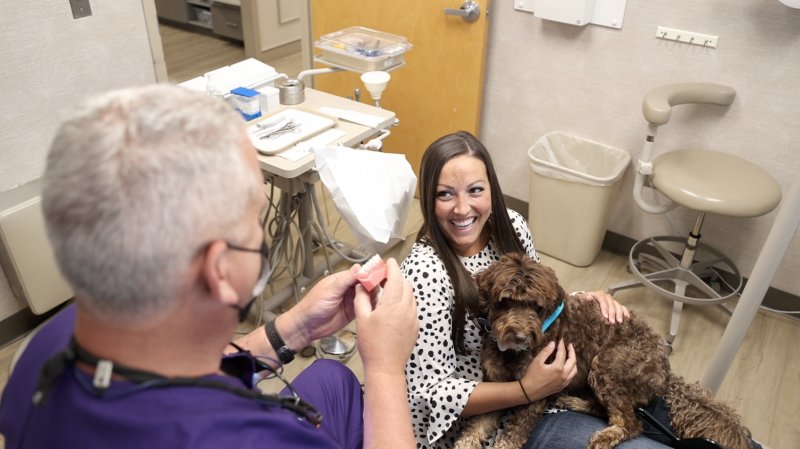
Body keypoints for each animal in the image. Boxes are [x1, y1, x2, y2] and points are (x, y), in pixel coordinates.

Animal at [454, 252, 752, 448]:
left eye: (536, 307)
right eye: (505, 302)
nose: (518, 336)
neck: (512, 355)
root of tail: (666, 374)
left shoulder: (535, 396)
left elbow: (512, 435)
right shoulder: (498, 386)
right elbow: (477, 427)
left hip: (607, 365)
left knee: (631, 423)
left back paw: (604, 437)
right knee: (606, 411)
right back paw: (572, 402)